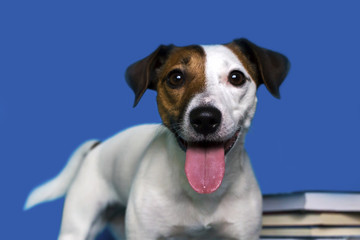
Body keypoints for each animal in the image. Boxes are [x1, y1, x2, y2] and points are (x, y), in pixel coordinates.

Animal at [24, 38, 290, 239]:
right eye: (176, 78)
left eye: (236, 77)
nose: (205, 118)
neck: (202, 194)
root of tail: (98, 147)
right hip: (78, 226)